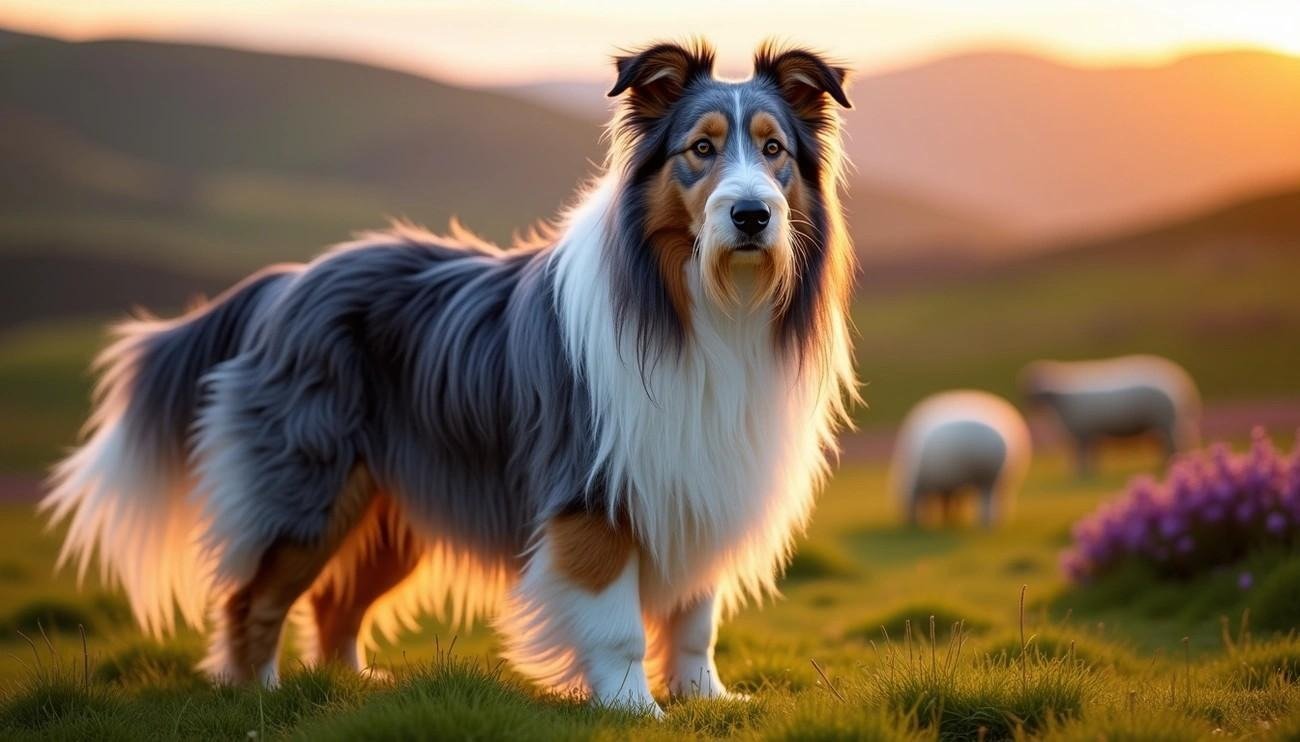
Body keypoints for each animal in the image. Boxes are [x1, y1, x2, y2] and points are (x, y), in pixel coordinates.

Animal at [891, 390, 1032, 528]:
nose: (910, 523)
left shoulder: (943, 481)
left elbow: (947, 500)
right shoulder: (949, 483)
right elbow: (949, 500)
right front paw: (950, 517)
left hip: (986, 476)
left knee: (986, 501)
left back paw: (985, 523)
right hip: (996, 477)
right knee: (997, 499)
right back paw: (993, 521)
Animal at [1019, 354, 1200, 477]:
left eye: (1037, 391)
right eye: (1028, 388)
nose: (1030, 407)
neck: (1062, 400)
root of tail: (1183, 381)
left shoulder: (1082, 433)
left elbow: (1082, 455)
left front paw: (1082, 475)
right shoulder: (1088, 434)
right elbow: (1089, 454)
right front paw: (1088, 473)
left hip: (1166, 421)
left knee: (1173, 443)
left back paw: (1171, 462)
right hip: (1164, 423)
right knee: (1169, 443)